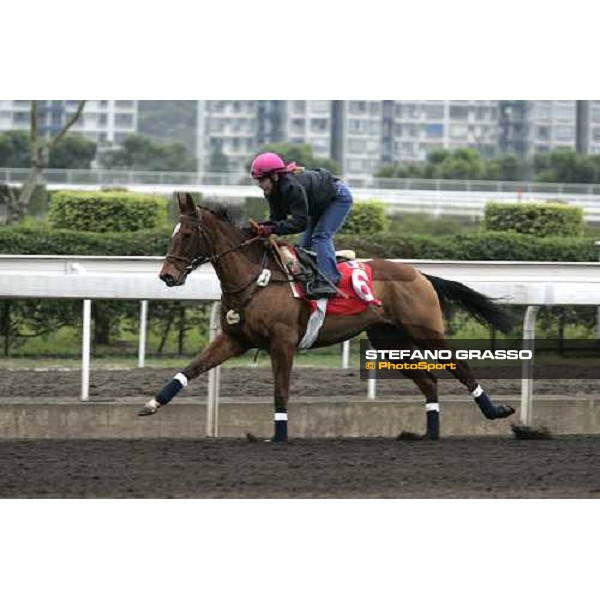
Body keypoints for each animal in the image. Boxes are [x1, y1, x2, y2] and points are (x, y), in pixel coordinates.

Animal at [137, 192, 516, 440]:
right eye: (174, 234)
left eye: (187, 234)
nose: (167, 276)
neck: (256, 277)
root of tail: (421, 274)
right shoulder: (235, 339)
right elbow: (191, 368)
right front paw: (151, 404)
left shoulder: (283, 342)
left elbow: (281, 391)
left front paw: (279, 435)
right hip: (389, 340)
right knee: (429, 381)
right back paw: (430, 433)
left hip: (425, 331)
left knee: (460, 367)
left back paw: (495, 412)